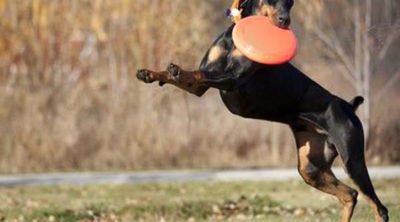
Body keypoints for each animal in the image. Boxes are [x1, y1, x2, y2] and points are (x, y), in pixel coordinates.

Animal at [136, 0, 390, 221]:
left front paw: (175, 70)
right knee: (350, 195)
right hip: (311, 168)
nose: (286, 21)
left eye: (291, 2)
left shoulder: (232, 79)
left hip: (352, 160)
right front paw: (150, 74)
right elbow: (188, 76)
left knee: (379, 207)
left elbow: (197, 74)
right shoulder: (200, 86)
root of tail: (349, 105)